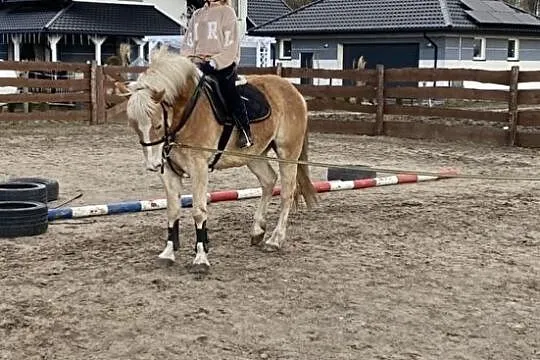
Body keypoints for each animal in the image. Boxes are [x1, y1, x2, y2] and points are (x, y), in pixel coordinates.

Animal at [114, 47, 316, 272]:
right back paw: (257, 230)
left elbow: (199, 211)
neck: (186, 113)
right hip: (254, 155)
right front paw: (168, 253)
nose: (153, 165)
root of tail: (292, 90)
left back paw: (275, 240)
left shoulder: (199, 167)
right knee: (268, 181)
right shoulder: (169, 171)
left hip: (288, 153)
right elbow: (173, 211)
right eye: (133, 125)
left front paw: (201, 258)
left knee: (287, 192)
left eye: (157, 125)